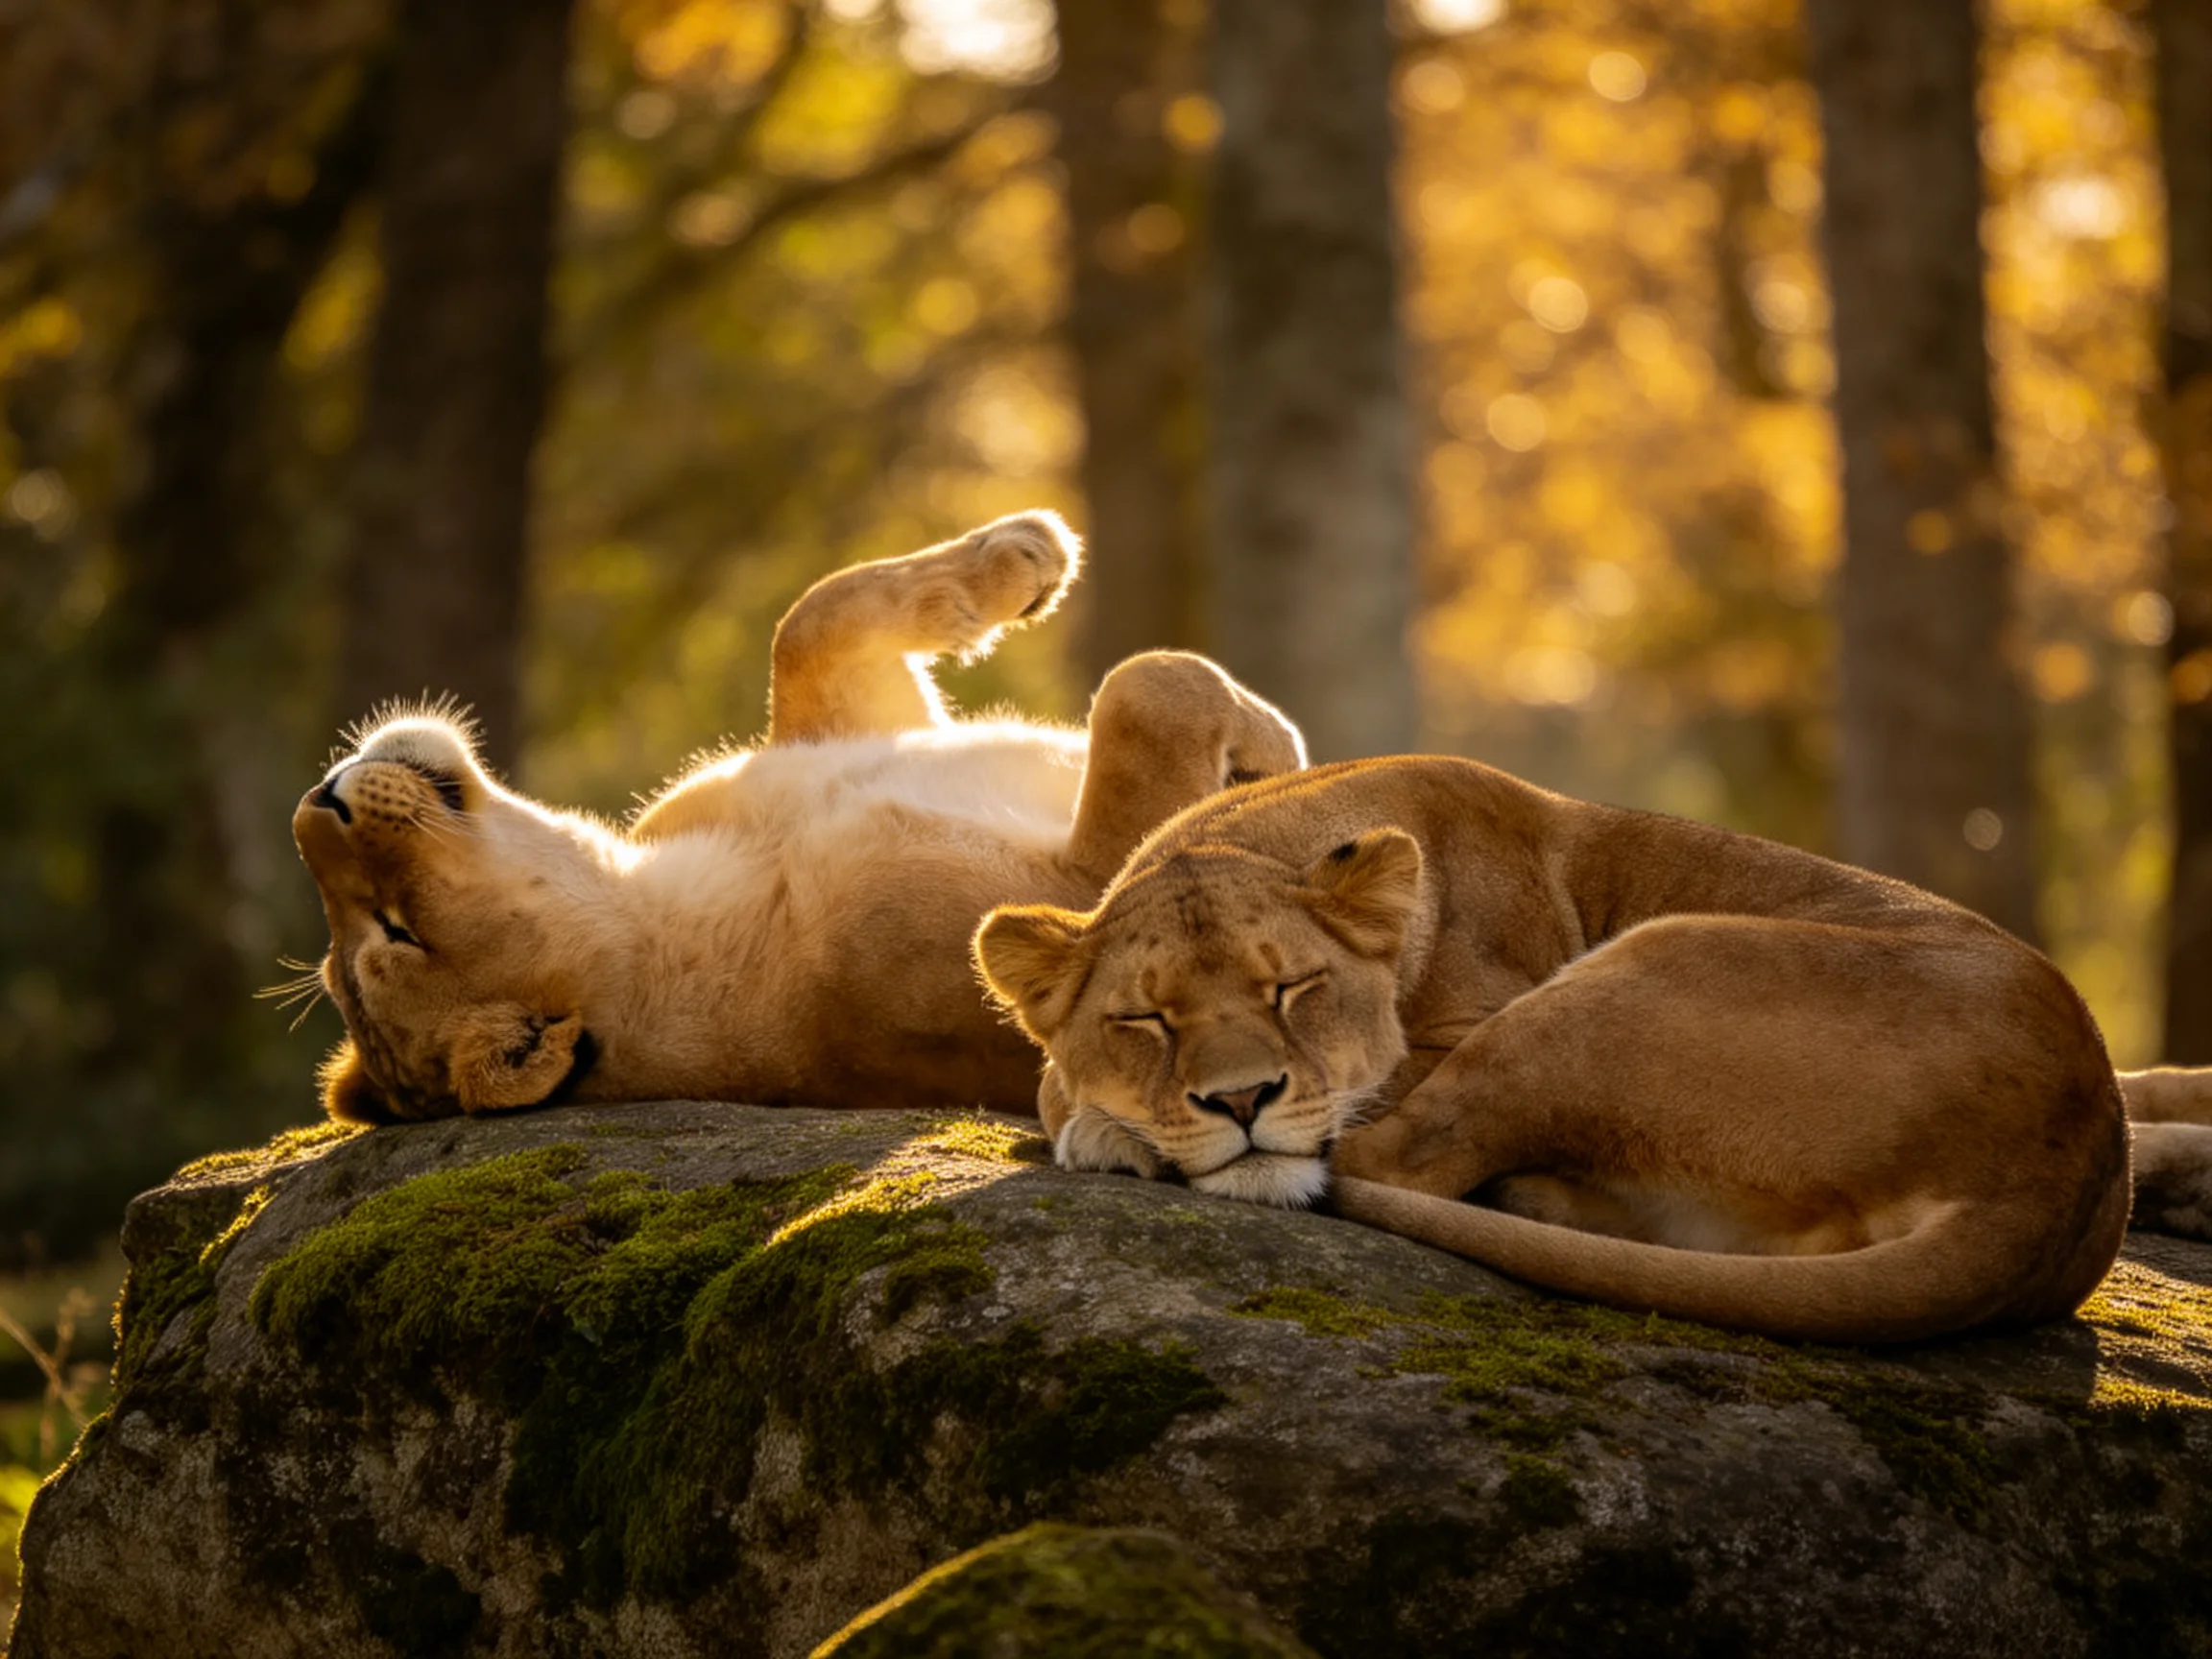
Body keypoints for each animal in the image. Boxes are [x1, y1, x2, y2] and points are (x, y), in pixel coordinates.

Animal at [294, 510, 1304, 1123]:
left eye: (363, 947)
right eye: (395, 932)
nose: (315, 805)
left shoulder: (852, 727)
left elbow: (814, 617)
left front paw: (1022, 555)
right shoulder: (1071, 913)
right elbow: (1146, 692)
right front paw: (1279, 754)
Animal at [976, 756, 2212, 1344]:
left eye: (1294, 989)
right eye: (1146, 1020)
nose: (1241, 1101)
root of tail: (2066, 1172)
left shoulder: (1465, 1026)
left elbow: (1358, 1122)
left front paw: (1107, 1129)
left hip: (1633, 974)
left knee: (1392, 1164)